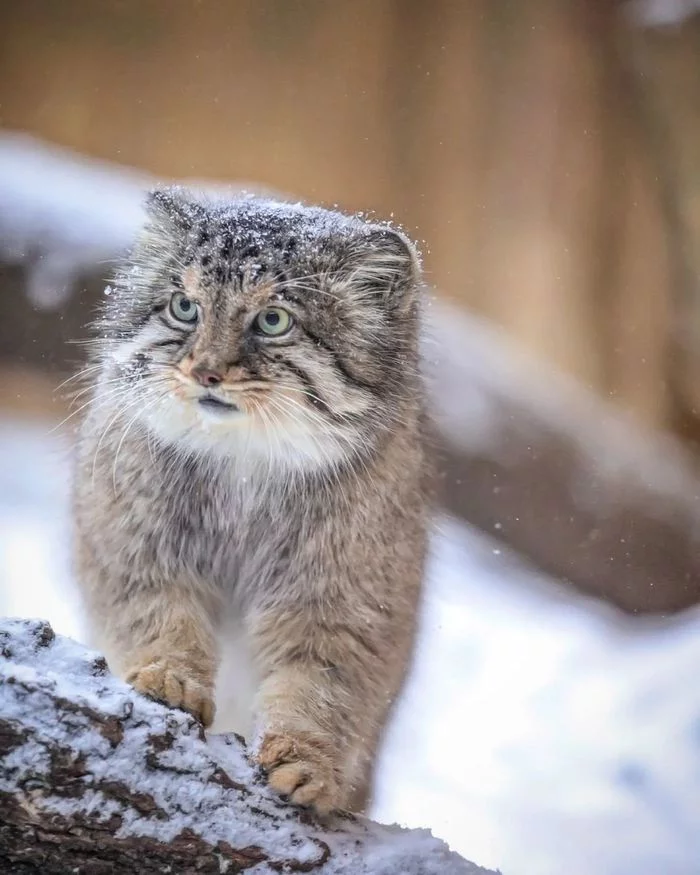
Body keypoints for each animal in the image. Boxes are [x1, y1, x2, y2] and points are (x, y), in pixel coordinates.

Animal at [74, 190, 430, 816]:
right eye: (184, 307)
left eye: (273, 320)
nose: (204, 371)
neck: (244, 463)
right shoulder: (132, 546)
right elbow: (160, 617)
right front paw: (170, 677)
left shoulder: (344, 602)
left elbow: (323, 690)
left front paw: (308, 762)